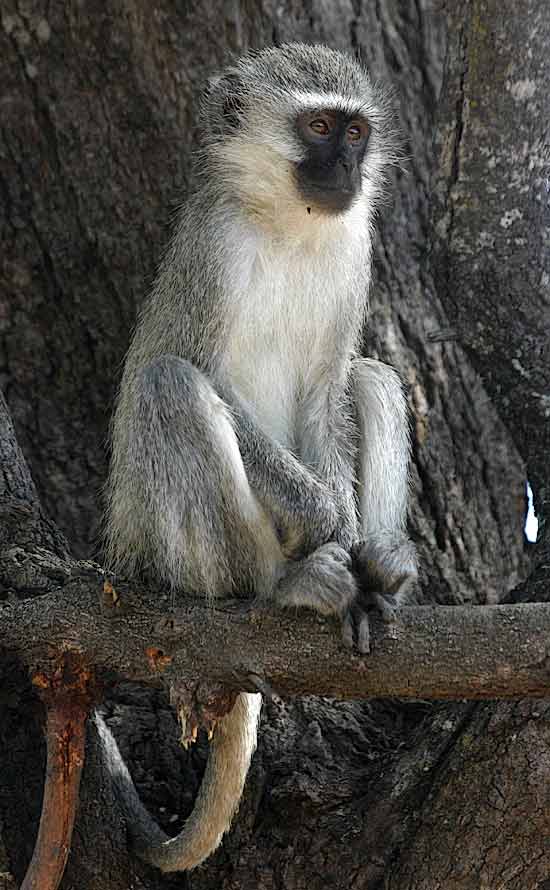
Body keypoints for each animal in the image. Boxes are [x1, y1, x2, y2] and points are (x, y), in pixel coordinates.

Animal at [99, 43, 418, 876]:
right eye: (318, 127)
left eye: (356, 131)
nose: (347, 168)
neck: (288, 224)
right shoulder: (213, 247)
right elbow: (199, 369)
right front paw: (322, 520)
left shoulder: (354, 250)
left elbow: (328, 391)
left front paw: (357, 544)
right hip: (173, 551)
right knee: (170, 386)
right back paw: (283, 587)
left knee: (372, 376)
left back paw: (381, 571)